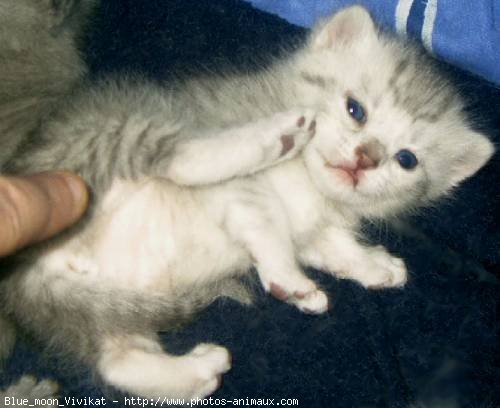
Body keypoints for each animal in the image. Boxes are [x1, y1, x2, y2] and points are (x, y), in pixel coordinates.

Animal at [0, 6, 492, 400]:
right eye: (356, 109)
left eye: (407, 159)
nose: (365, 159)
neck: (308, 182)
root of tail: (25, 277)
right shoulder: (240, 189)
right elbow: (267, 223)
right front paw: (292, 281)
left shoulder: (312, 223)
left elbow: (331, 245)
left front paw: (373, 264)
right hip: (108, 141)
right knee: (181, 157)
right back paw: (273, 137)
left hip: (94, 306)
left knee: (117, 358)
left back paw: (195, 372)